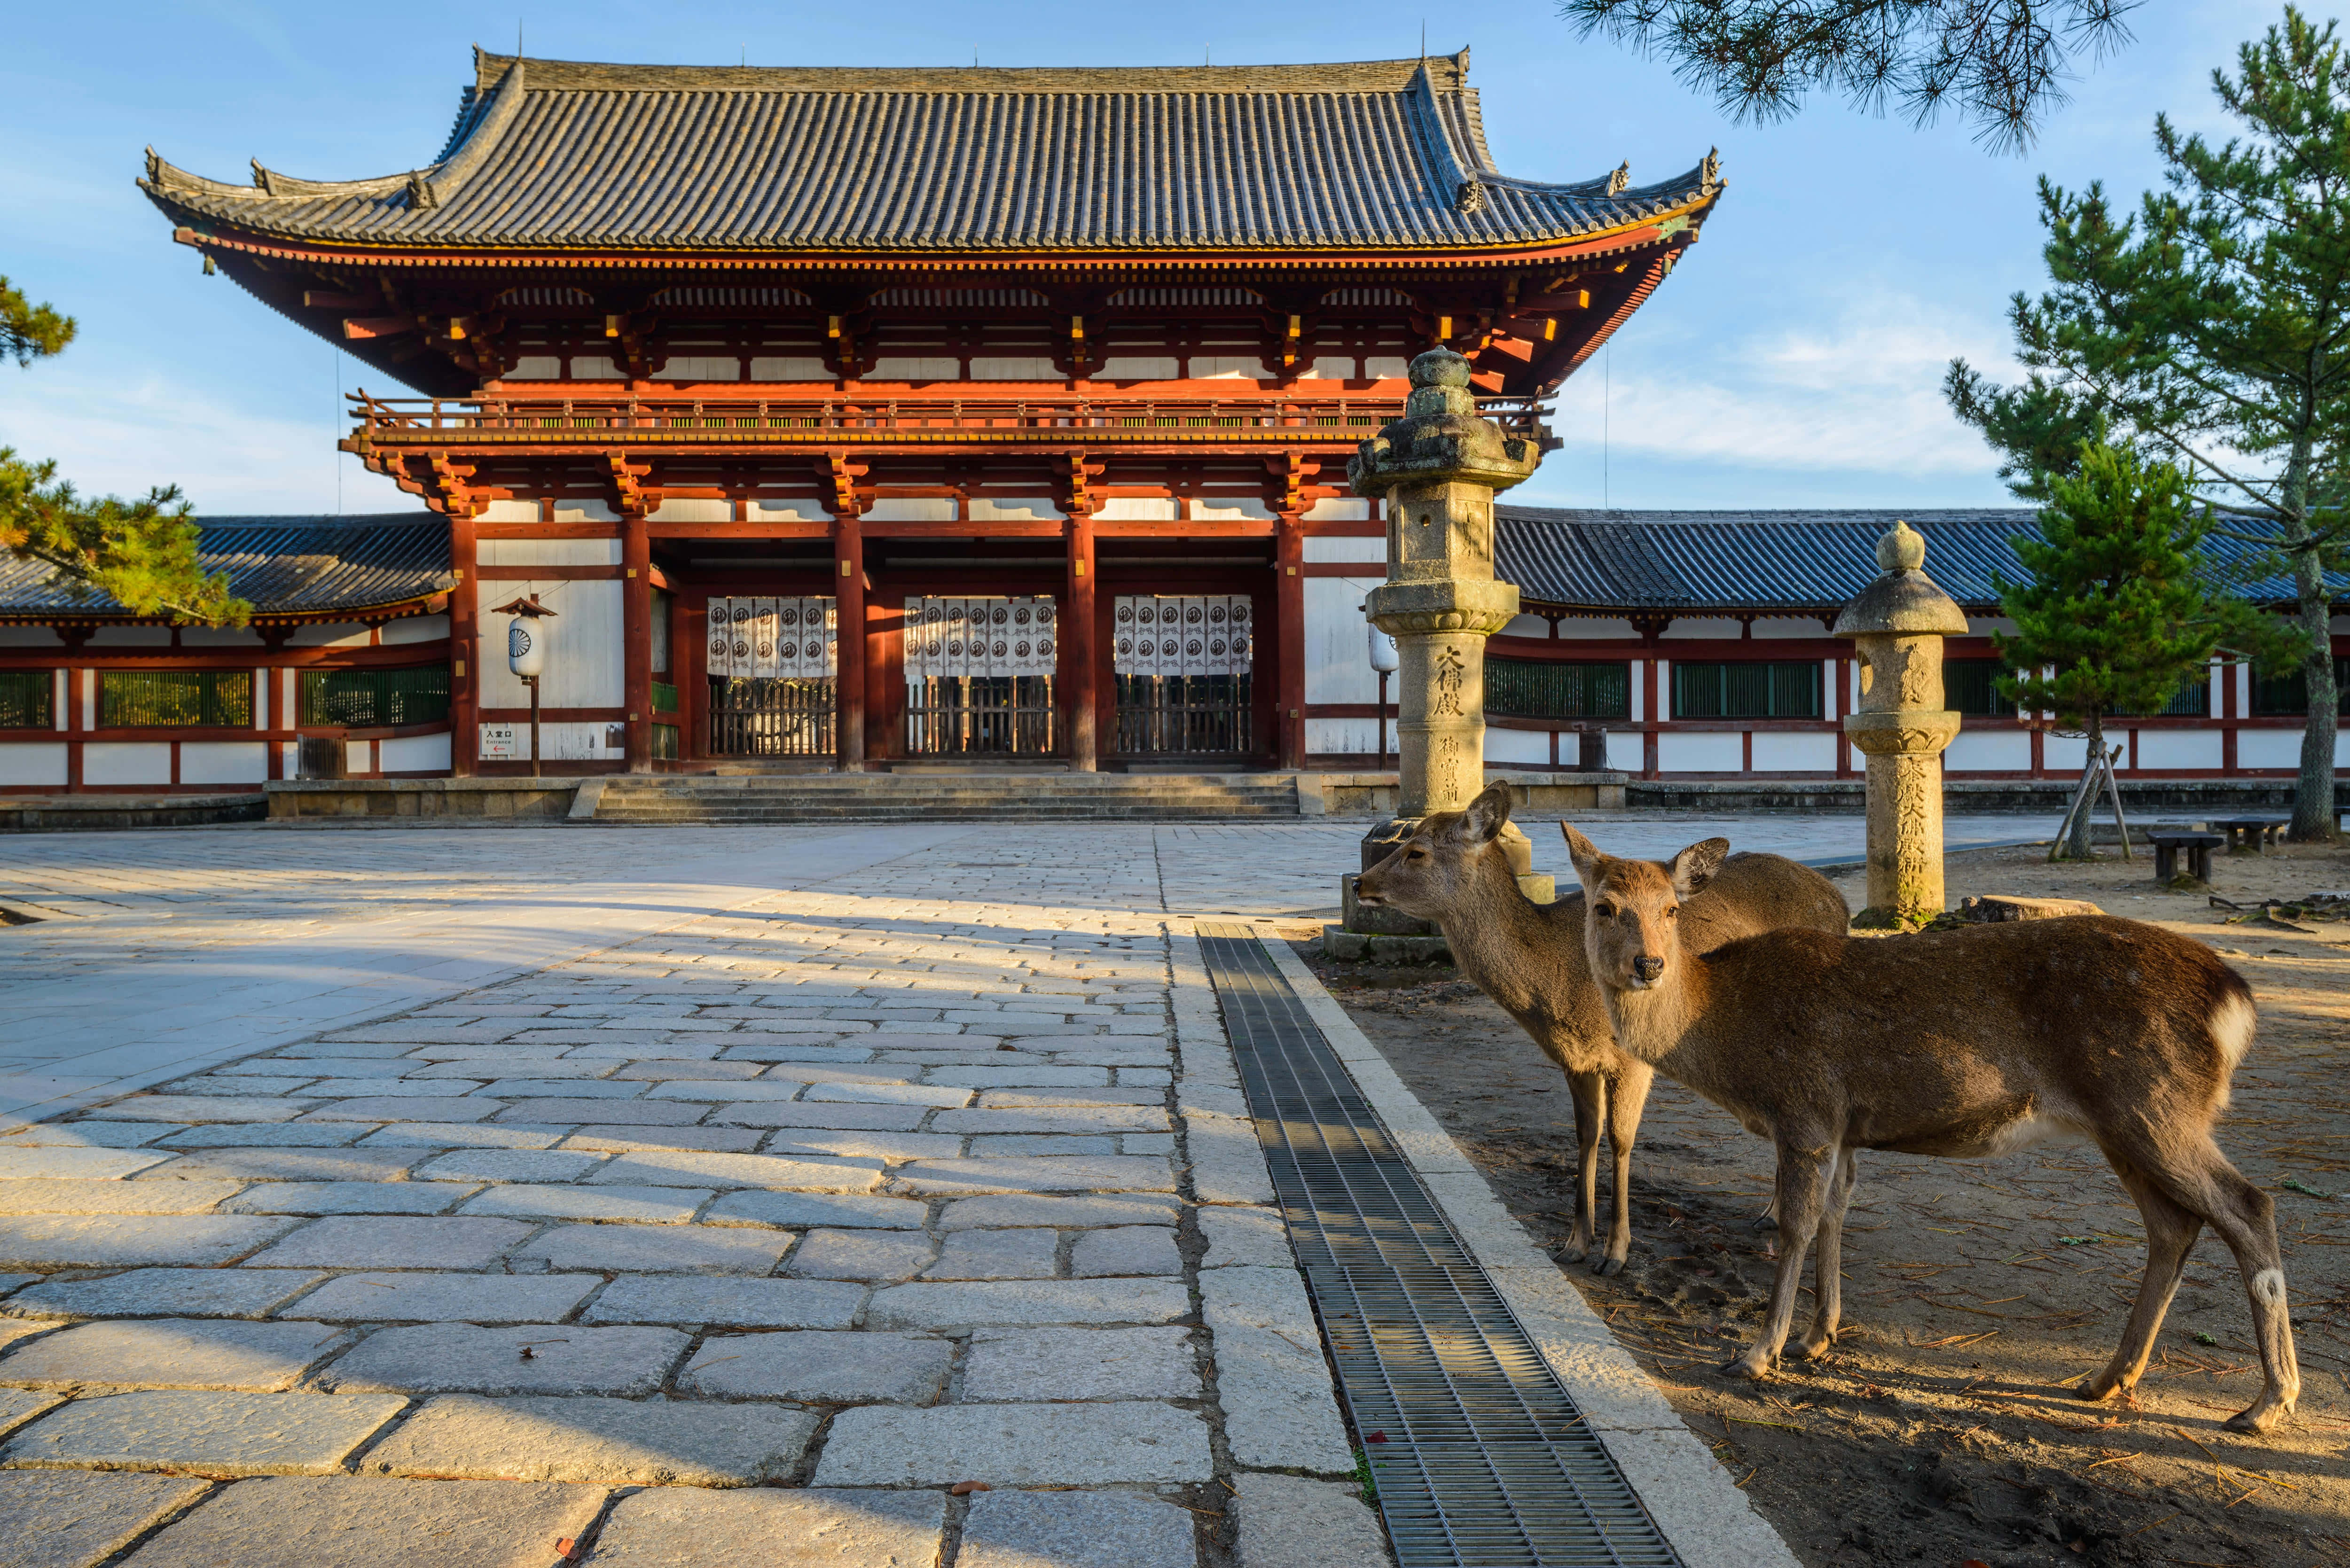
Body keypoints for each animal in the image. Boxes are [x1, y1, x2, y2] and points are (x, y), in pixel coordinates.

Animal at [1353, 782, 1848, 1275]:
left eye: (1416, 851)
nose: (1360, 882)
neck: (1556, 992)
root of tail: (1841, 903)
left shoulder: (1632, 1058)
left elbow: (1621, 1140)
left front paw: (1616, 1253)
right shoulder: (1574, 1059)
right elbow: (1585, 1135)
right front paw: (1574, 1243)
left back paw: (1776, 1214)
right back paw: (1770, 1213)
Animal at [1557, 821, 2297, 1436]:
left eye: (1671, 910)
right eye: (1603, 906)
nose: (1648, 965)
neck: (1728, 1036)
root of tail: (2235, 997)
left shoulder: (1806, 1109)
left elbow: (1794, 1226)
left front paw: (1758, 1352)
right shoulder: (1845, 1126)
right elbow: (1836, 1214)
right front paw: (1817, 1338)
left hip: (2154, 1103)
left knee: (2248, 1205)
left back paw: (2266, 1403)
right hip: (2124, 1122)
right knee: (2174, 1225)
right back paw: (2105, 1378)